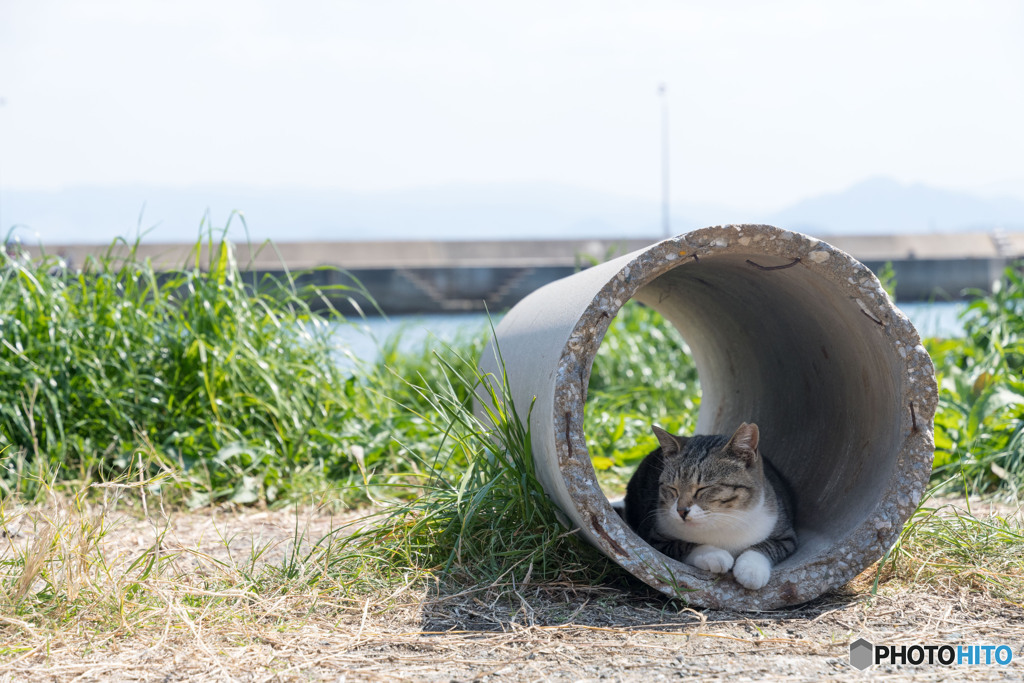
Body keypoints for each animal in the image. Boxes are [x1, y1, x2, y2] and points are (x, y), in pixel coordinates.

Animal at [618, 421, 794, 589]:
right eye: (672, 488)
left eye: (702, 488)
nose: (681, 511)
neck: (723, 520)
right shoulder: (655, 537)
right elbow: (683, 544)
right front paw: (713, 554)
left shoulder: (786, 535)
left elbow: (766, 546)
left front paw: (752, 570)